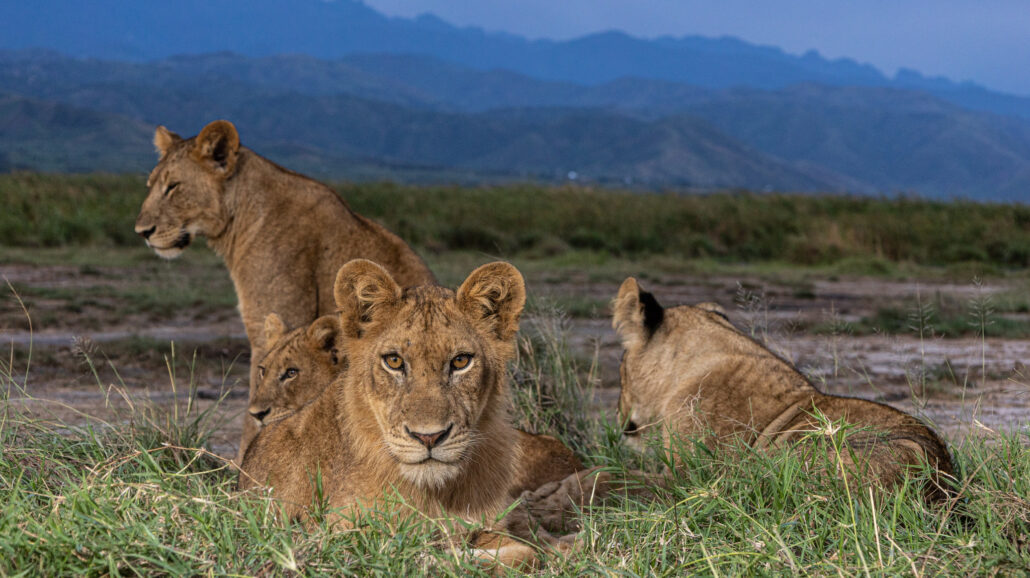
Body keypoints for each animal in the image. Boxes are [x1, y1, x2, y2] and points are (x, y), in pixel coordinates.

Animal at [133, 119, 434, 457]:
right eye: (151, 186)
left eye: (173, 186)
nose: (142, 232)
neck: (240, 219)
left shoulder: (276, 320)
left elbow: (257, 410)